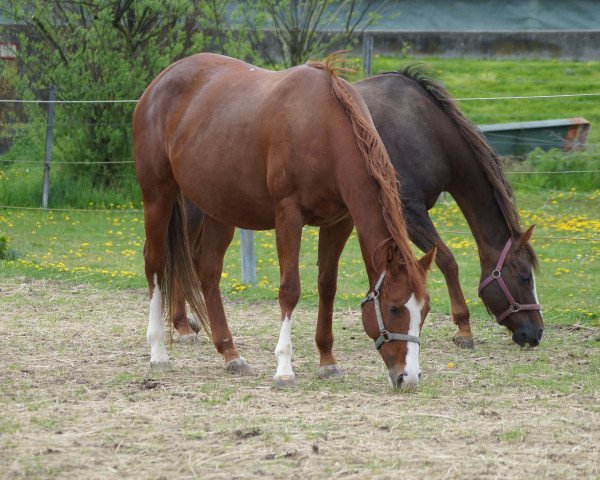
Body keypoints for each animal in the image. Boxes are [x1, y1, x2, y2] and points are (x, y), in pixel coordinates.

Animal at [134, 53, 436, 390]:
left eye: (424, 311)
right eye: (394, 308)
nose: (409, 377)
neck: (324, 128)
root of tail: (160, 81)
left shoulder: (339, 222)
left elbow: (327, 286)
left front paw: (327, 361)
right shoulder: (288, 215)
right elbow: (290, 289)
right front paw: (284, 367)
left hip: (219, 208)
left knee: (208, 271)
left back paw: (231, 354)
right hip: (158, 194)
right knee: (155, 263)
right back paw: (158, 351)